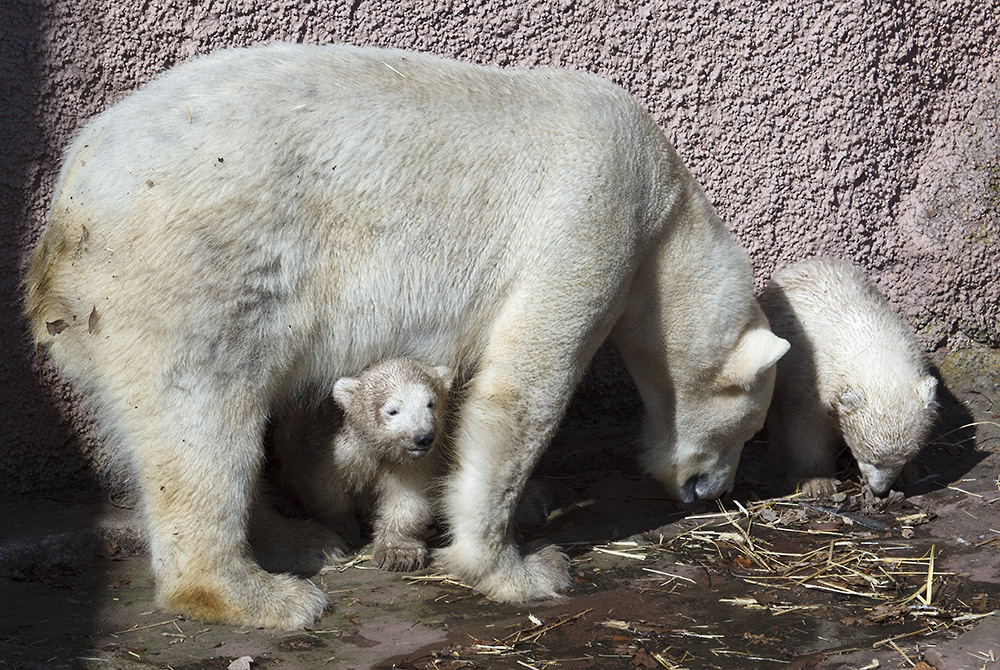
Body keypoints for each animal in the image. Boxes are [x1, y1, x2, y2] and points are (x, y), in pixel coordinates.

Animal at [25, 44, 788, 632]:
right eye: (750, 428)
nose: (711, 491)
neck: (667, 206)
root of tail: (65, 214)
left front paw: (529, 502)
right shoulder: (596, 211)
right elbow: (521, 392)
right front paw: (526, 568)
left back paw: (301, 540)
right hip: (191, 273)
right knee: (202, 419)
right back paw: (268, 595)